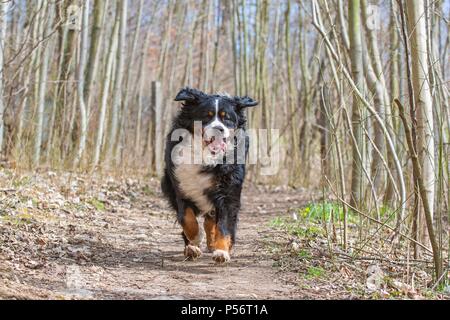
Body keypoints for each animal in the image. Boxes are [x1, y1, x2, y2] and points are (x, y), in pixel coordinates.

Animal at [163, 87, 258, 262]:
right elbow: (186, 217)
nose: (218, 129)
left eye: (227, 118)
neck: (205, 155)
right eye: (206, 116)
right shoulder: (182, 186)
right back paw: (191, 249)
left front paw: (221, 251)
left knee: (211, 219)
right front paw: (194, 240)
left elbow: (224, 224)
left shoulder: (228, 192)